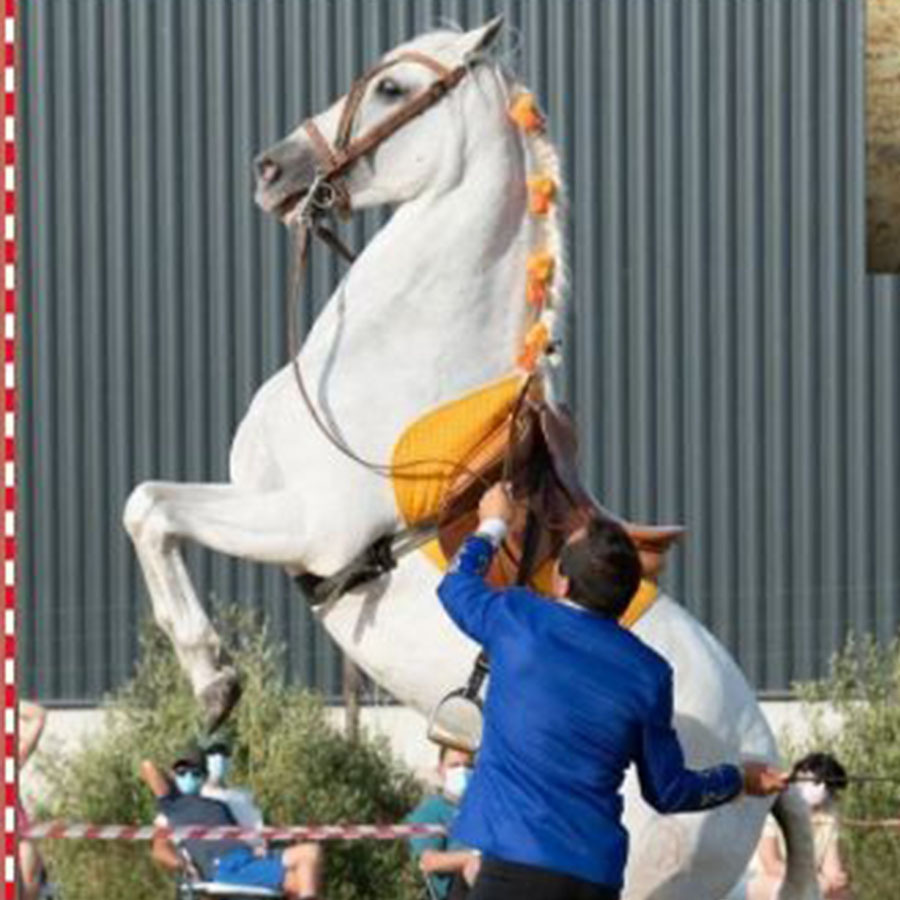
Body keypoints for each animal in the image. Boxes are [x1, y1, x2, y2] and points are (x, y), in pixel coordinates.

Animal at [123, 19, 820, 900]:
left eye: (392, 90)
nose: (274, 168)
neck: (398, 366)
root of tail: (763, 768)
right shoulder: (263, 499)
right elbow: (149, 504)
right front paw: (212, 678)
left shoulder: (309, 527)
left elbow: (149, 508)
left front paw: (215, 679)